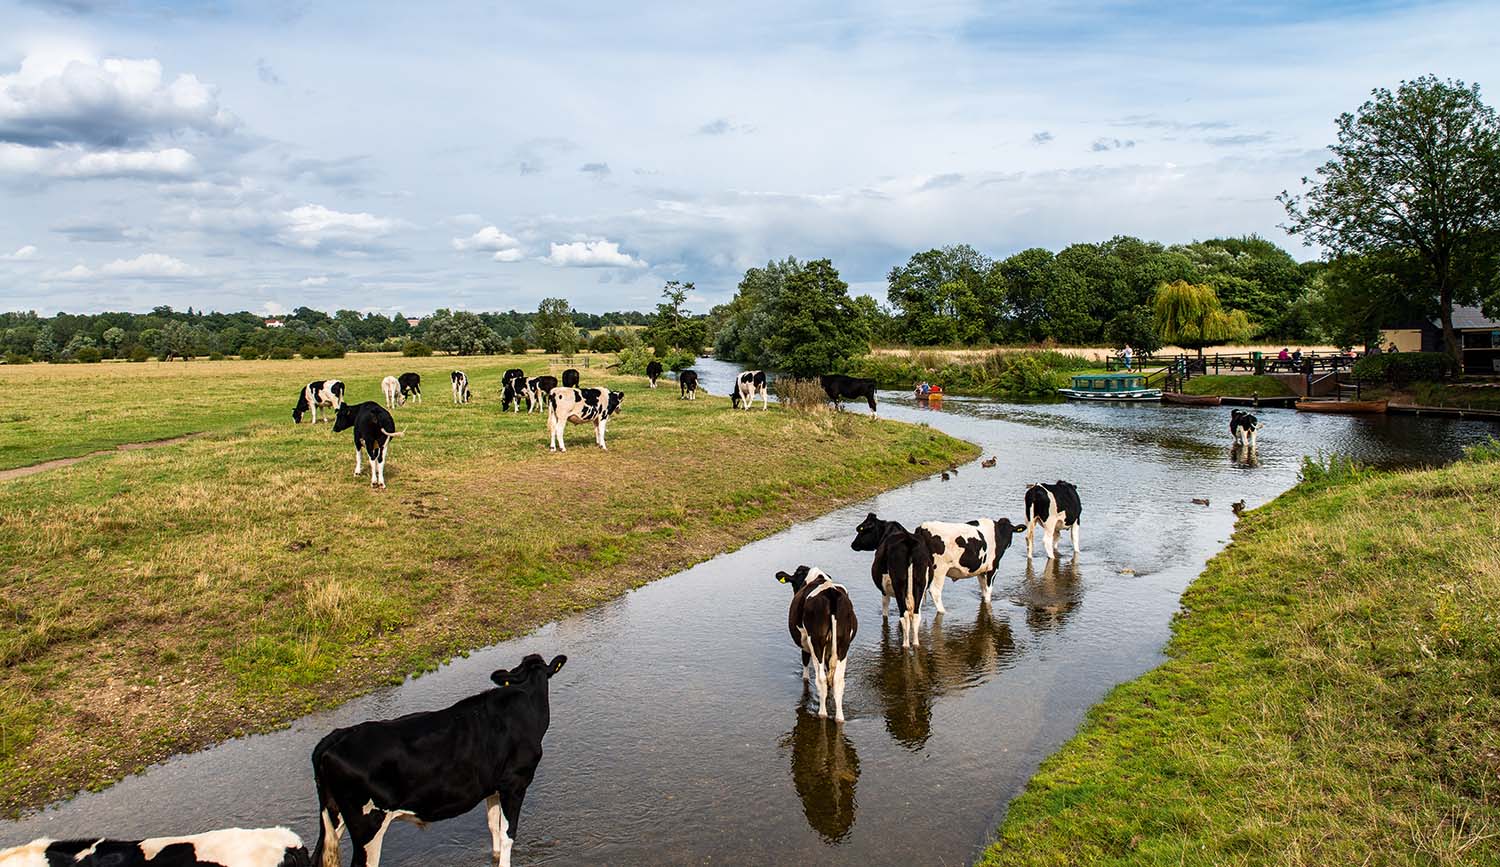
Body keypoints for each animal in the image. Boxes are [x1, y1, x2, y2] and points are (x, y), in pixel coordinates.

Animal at [307, 651, 564, 864]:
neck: (526, 702)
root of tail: (337, 736)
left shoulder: (492, 786)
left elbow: (493, 825)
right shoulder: (515, 783)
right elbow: (507, 834)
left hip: (333, 817)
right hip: (369, 824)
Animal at [774, 564, 858, 720]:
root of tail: (831, 592)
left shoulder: (805, 645)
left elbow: (806, 672)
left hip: (816, 642)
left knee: (821, 679)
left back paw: (822, 714)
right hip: (843, 643)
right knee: (837, 680)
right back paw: (839, 718)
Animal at [852, 510, 930, 645]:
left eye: (861, 529)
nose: (853, 544)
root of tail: (908, 541)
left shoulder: (884, 591)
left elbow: (885, 611)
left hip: (899, 585)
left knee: (904, 615)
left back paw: (905, 645)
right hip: (920, 583)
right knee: (915, 614)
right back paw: (915, 644)